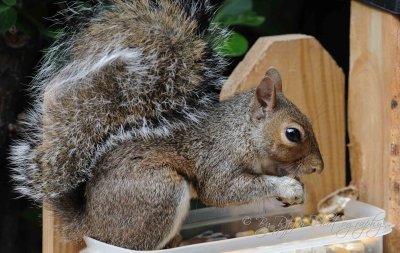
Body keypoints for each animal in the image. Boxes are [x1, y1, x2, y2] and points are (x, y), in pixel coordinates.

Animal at [9, 0, 324, 249]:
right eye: (292, 134)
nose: (318, 168)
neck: (241, 132)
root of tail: (90, 225)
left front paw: (294, 189)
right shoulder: (219, 160)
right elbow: (222, 191)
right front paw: (287, 186)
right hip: (158, 190)